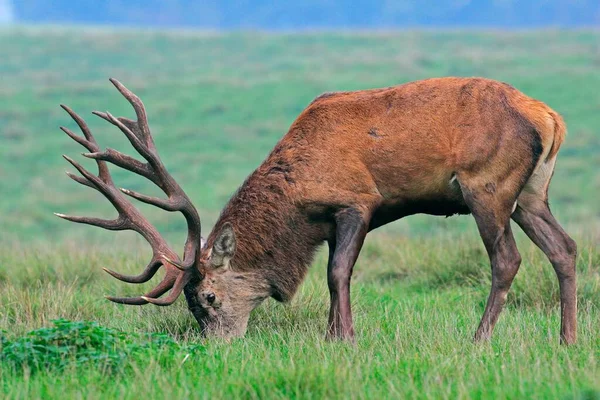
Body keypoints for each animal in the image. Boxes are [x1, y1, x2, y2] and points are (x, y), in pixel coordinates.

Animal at [56, 77, 576, 344]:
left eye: (208, 298)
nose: (216, 346)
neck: (298, 196)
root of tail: (550, 117)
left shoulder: (356, 201)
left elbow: (337, 273)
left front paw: (344, 339)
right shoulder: (326, 224)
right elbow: (331, 274)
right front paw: (332, 335)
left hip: (487, 186)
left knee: (507, 259)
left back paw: (477, 340)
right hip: (531, 194)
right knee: (564, 248)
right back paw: (567, 338)